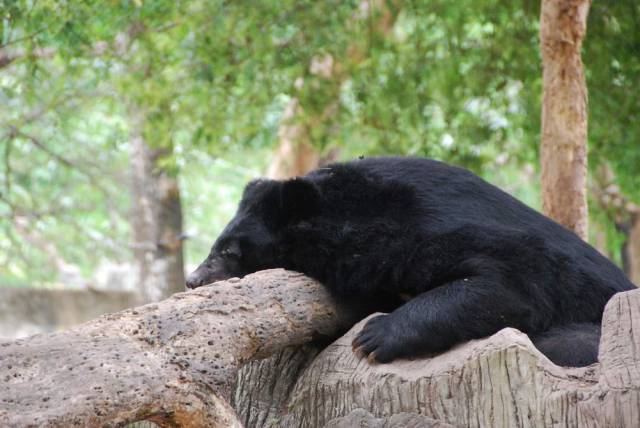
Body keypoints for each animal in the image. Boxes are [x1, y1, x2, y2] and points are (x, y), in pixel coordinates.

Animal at [185, 157, 636, 368]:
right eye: (218, 245)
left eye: (229, 251)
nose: (191, 280)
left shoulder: (425, 229)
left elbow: (510, 281)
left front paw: (373, 337)